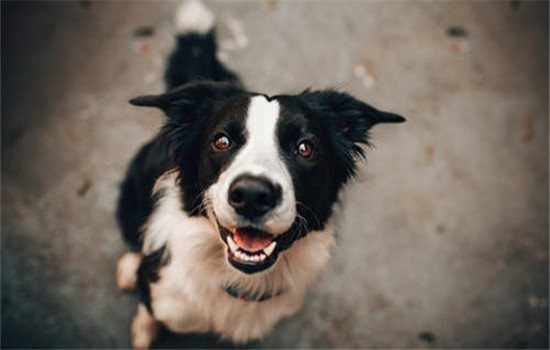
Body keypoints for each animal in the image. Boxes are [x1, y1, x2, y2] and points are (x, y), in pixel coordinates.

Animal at [115, 1, 406, 348]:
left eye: (305, 148)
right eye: (221, 141)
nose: (253, 195)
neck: (239, 280)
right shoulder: (163, 297)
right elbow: (149, 308)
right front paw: (144, 330)